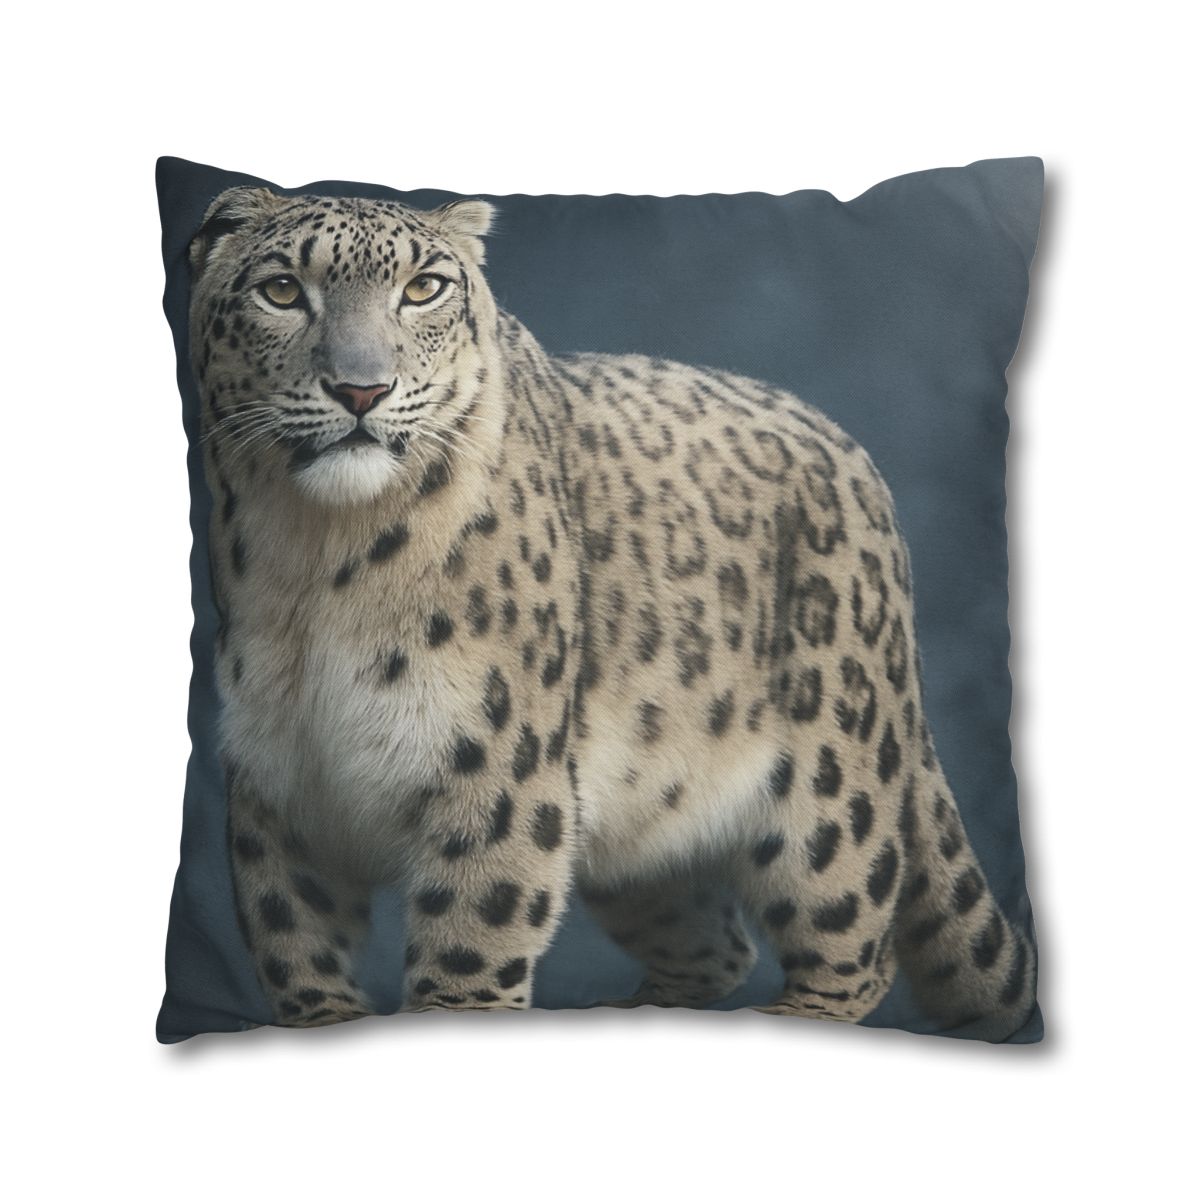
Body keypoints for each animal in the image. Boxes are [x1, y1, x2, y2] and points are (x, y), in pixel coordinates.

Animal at [187, 185, 1036, 1040]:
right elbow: (295, 949)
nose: (362, 390)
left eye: (424, 288)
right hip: (641, 824)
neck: (316, 562)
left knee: (853, 943)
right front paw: (322, 1020)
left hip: (830, 796)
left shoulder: (495, 769)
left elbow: (470, 946)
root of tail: (858, 464)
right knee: (714, 942)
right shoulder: (276, 782)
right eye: (281, 290)